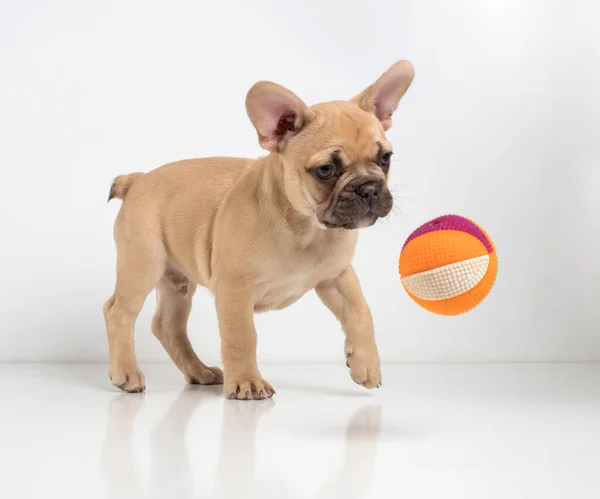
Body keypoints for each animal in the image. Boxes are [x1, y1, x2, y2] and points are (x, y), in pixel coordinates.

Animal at [104, 60, 412, 400]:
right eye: (325, 170)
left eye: (385, 158)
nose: (369, 188)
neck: (307, 229)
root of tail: (137, 180)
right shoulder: (235, 289)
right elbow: (242, 336)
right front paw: (247, 383)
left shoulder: (338, 276)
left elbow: (360, 312)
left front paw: (365, 364)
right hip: (143, 265)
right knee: (118, 312)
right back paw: (126, 373)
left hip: (177, 283)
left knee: (167, 326)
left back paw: (199, 372)